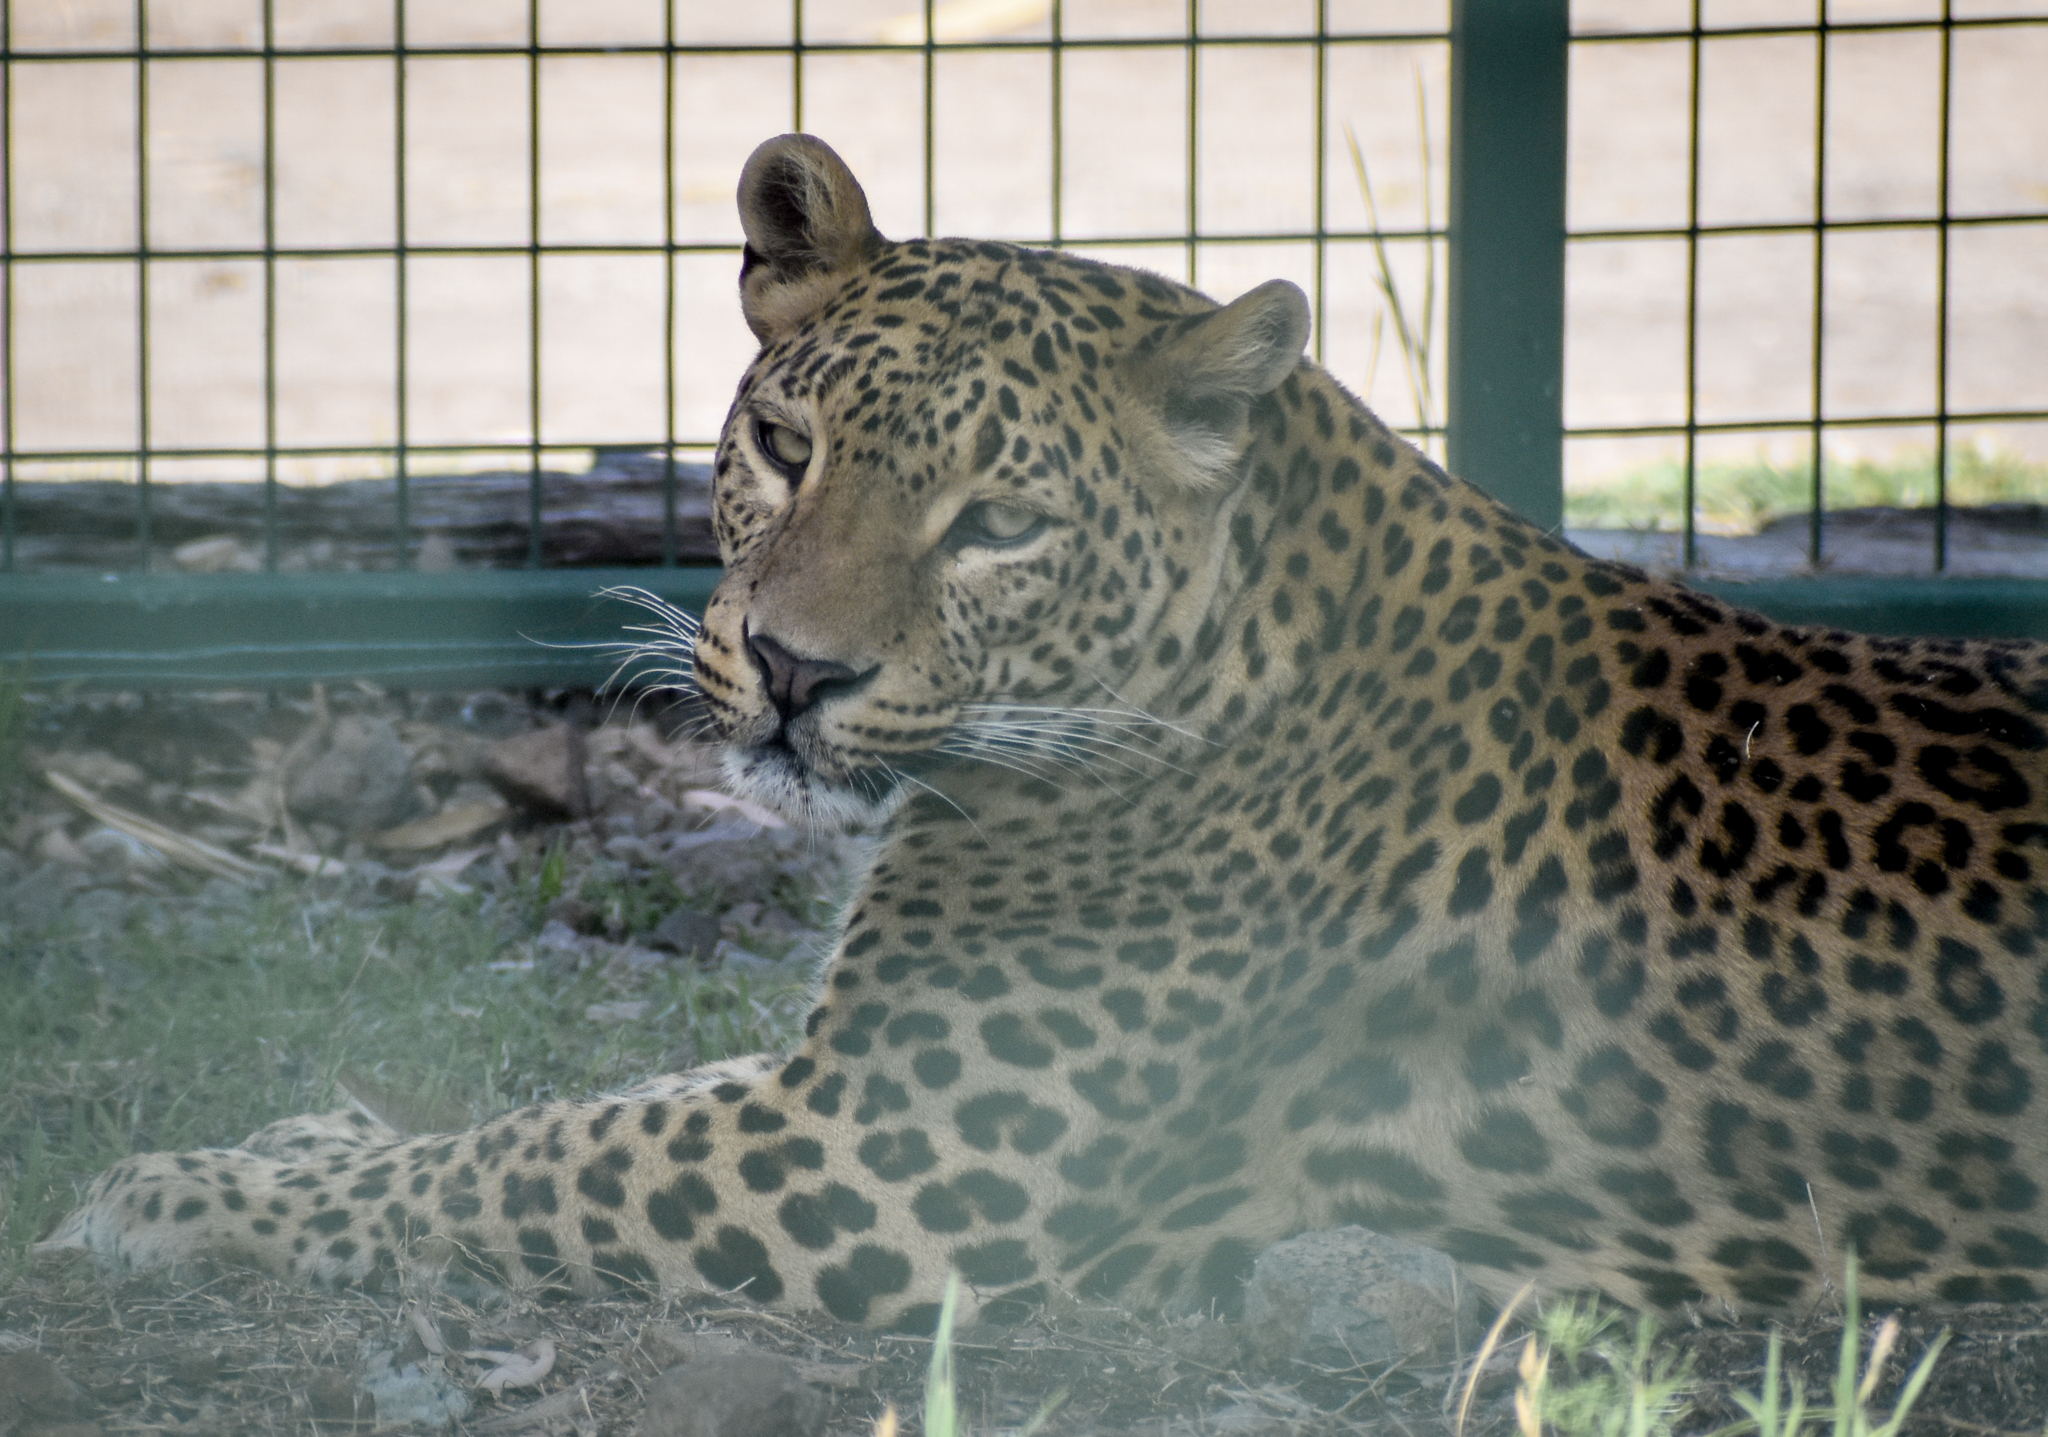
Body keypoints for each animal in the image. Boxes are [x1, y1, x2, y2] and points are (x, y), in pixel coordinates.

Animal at [43, 133, 2048, 1329]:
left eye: (999, 524)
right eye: (785, 446)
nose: (793, 672)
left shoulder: (885, 1163)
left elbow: (528, 1158)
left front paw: (177, 1196)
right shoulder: (844, 1083)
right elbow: (567, 1109)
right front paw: (288, 1141)